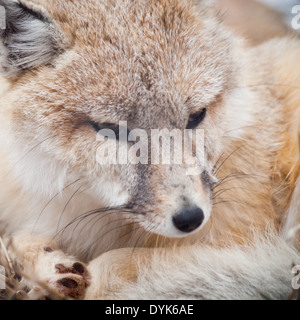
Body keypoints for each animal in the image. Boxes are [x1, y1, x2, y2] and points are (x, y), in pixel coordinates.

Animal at [0, 0, 298, 300]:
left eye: (196, 116)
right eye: (113, 129)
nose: (191, 218)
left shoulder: (240, 232)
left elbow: (108, 269)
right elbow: (18, 240)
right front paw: (51, 264)